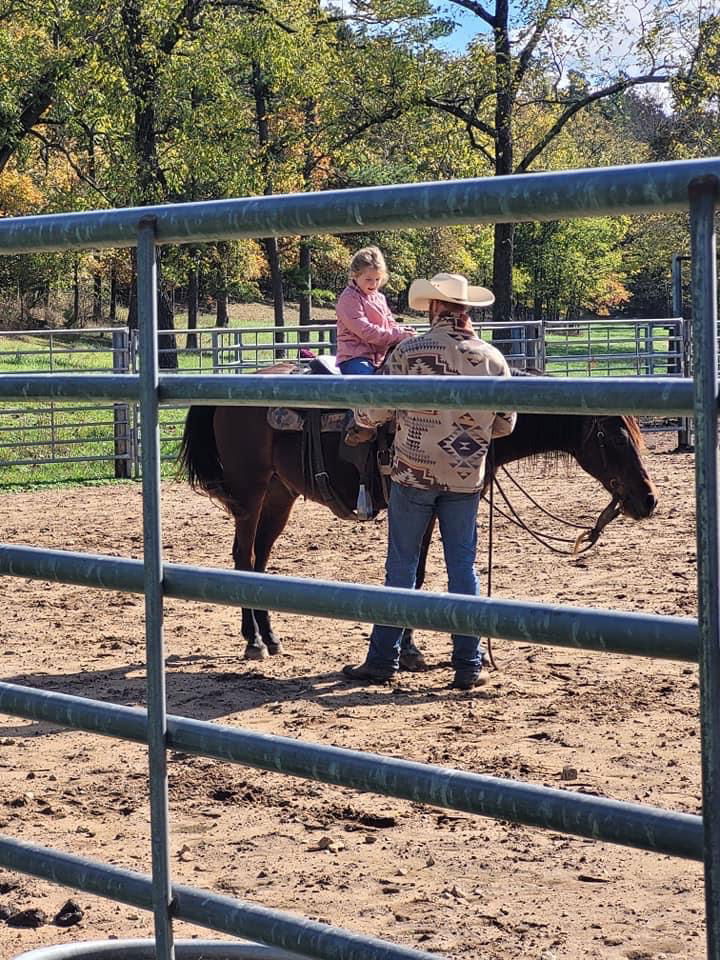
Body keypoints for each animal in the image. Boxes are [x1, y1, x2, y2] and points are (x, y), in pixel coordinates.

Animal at [179, 366, 660, 660]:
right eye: (616, 438)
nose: (648, 500)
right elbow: (410, 574)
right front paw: (407, 649)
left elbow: (419, 576)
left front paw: (410, 648)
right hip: (251, 491)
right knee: (243, 557)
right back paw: (254, 642)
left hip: (281, 494)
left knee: (259, 561)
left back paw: (271, 636)